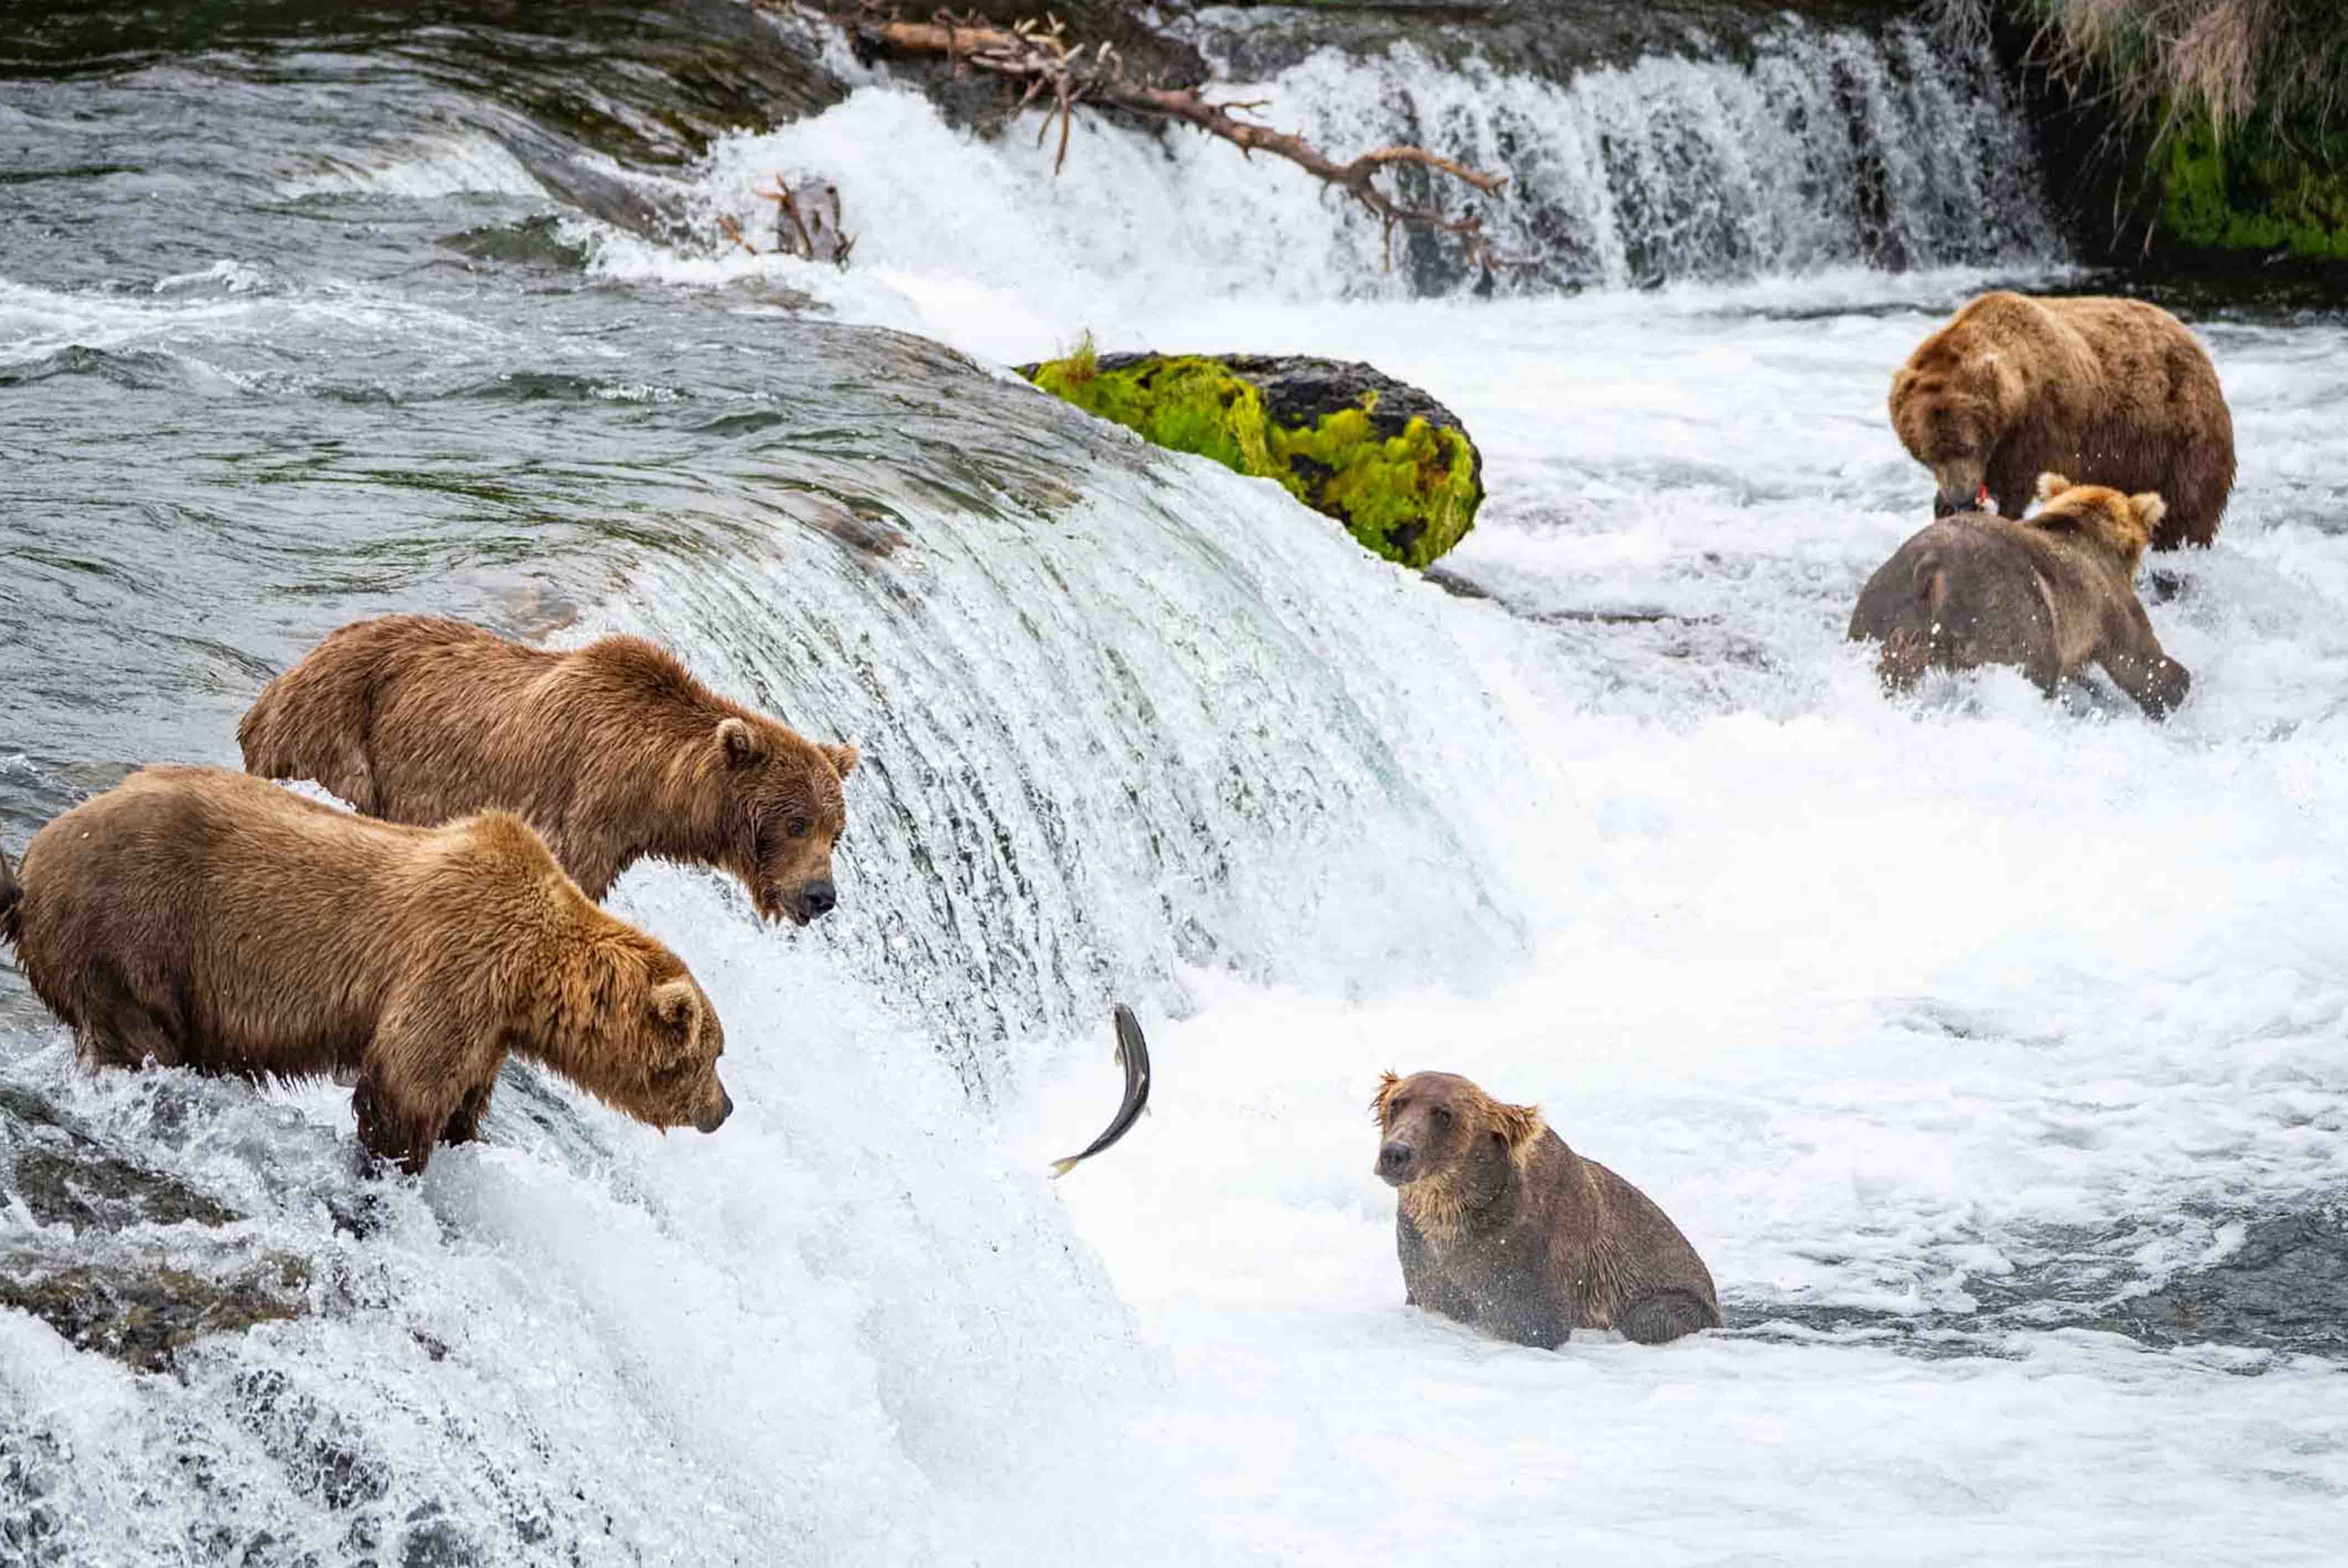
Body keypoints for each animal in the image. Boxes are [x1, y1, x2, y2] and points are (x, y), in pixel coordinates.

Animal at [0, 767, 730, 1175]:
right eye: (713, 1055)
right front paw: (398, 1164)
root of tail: (32, 859)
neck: (533, 975)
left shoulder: (489, 1026)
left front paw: (460, 1137)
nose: (723, 1110)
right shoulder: (454, 967)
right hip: (130, 932)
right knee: (141, 1035)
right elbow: (403, 1086)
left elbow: (463, 1093)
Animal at [238, 615, 859, 925]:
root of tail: (275, 686)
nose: (820, 895)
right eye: (796, 822)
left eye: (837, 833)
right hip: (336, 734)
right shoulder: (583, 809)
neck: (654, 791)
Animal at [1371, 1070, 1719, 1348]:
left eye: (1444, 1114)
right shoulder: (1424, 1255)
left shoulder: (1521, 1261)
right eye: (1397, 1103)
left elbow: (1532, 1323)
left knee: (1649, 1319)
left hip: (1675, 1297)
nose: (1396, 1153)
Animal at [1848, 472, 2191, 720]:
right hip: (2006, 616)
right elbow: (2140, 662)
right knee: (2030, 668)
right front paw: (2177, 686)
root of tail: (1933, 568)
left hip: (1886, 609)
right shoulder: (2105, 599)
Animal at [1888, 290, 2234, 551]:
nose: (1961, 498)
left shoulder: (2046, 426)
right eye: (1929, 455)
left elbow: (2020, 483)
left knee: (2187, 510)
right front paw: (1946, 508)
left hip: (2181, 433)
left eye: (1966, 447)